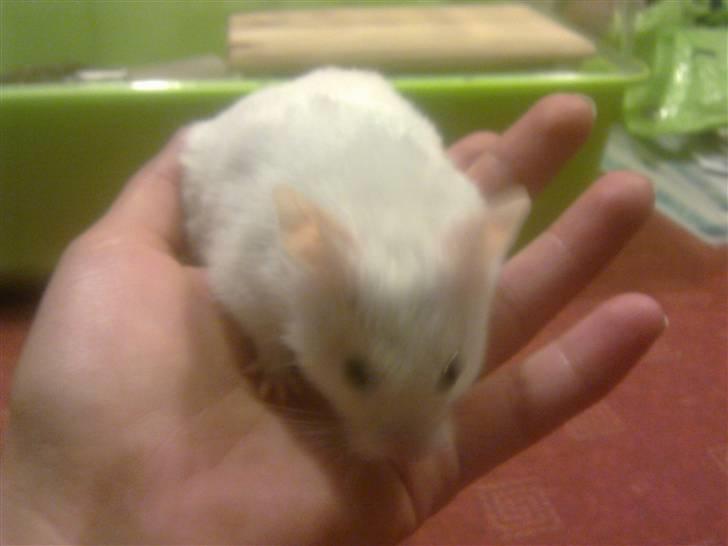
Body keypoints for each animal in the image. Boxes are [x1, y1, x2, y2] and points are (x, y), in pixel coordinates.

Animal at [181, 67, 530, 461]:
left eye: (453, 371)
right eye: (354, 373)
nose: (406, 454)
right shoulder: (246, 291)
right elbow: (268, 341)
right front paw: (280, 389)